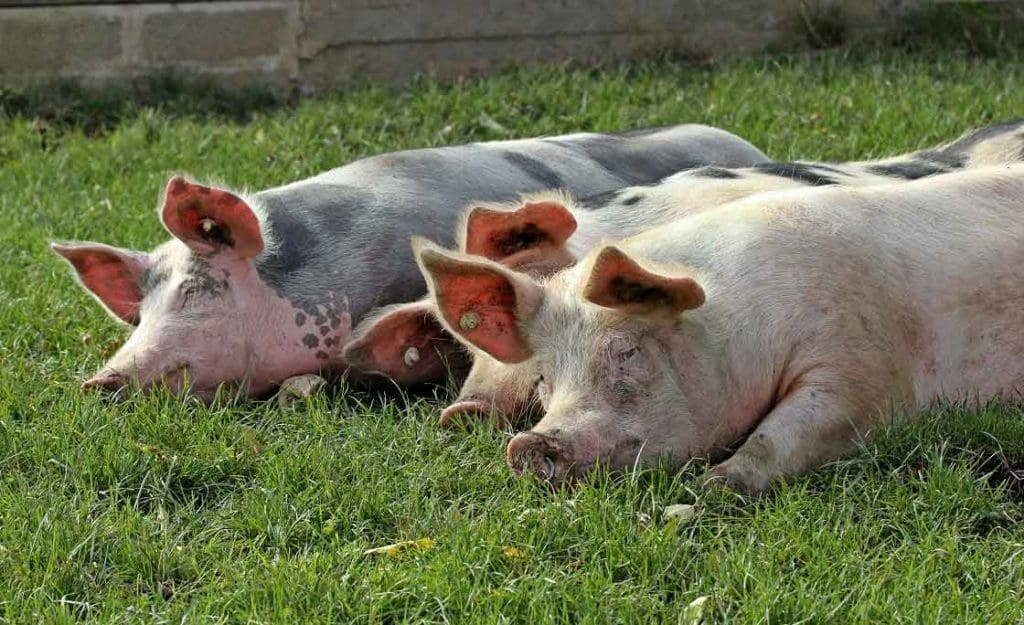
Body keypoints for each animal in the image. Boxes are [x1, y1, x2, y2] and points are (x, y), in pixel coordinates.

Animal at [414, 164, 1024, 494]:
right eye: (544, 380)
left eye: (627, 352)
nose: (528, 443)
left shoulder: (861, 359)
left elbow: (789, 432)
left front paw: (704, 492)